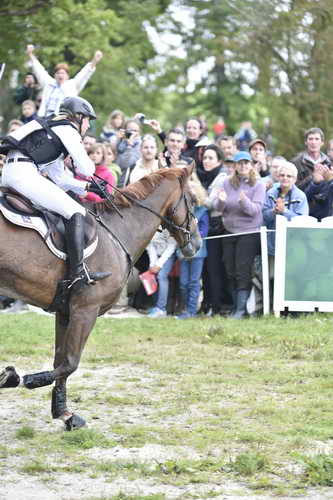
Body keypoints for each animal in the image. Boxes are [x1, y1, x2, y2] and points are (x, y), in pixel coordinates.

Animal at [0, 165, 200, 430]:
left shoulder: (66, 311)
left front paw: (64, 413)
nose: (197, 244)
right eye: (194, 200)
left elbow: (61, 361)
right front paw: (16, 378)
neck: (118, 232)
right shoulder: (85, 310)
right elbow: (70, 363)